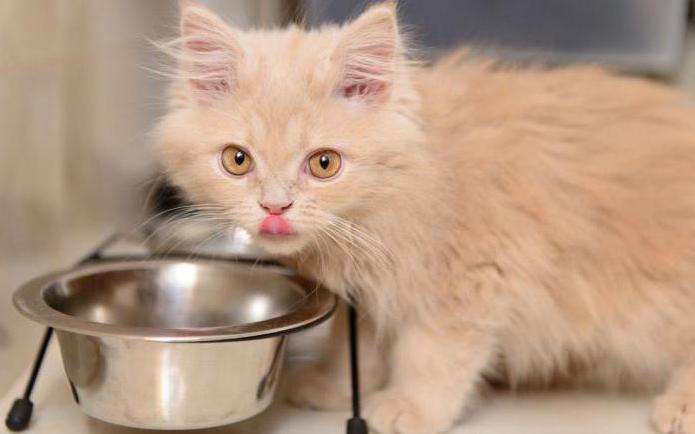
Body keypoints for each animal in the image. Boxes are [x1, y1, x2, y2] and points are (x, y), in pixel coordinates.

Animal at [154, 1, 695, 432]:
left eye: (324, 164)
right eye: (237, 160)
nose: (274, 206)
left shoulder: (472, 278)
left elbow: (433, 355)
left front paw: (409, 408)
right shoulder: (365, 297)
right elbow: (353, 350)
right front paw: (336, 388)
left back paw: (680, 406)